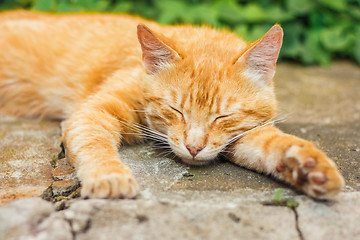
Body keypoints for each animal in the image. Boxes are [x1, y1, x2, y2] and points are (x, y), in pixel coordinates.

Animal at [0, 10, 344, 199]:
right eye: (175, 110)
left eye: (223, 116)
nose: (193, 147)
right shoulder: (91, 113)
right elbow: (93, 143)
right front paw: (108, 176)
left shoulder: (242, 134)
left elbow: (273, 145)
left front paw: (308, 169)